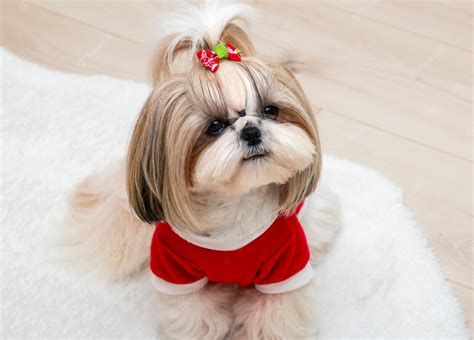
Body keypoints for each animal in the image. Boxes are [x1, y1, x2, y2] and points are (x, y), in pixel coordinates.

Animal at [63, 1, 340, 338]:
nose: (251, 131)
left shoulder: (285, 265)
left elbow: (274, 315)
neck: (234, 207)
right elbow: (194, 315)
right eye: (215, 126)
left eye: (270, 110)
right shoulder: (174, 271)